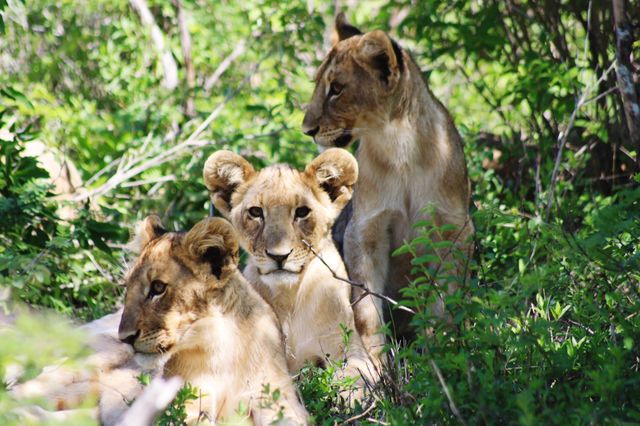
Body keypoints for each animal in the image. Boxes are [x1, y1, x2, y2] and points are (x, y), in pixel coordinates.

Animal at [203, 148, 377, 400]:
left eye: (302, 212)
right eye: (255, 212)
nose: (279, 256)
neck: (288, 297)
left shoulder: (347, 344)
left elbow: (356, 374)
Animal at [301, 14, 474, 363]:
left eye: (336, 89)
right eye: (319, 85)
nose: (306, 129)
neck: (400, 146)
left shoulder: (455, 229)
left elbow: (444, 299)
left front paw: (441, 351)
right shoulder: (364, 231)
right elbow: (367, 306)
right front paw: (375, 363)